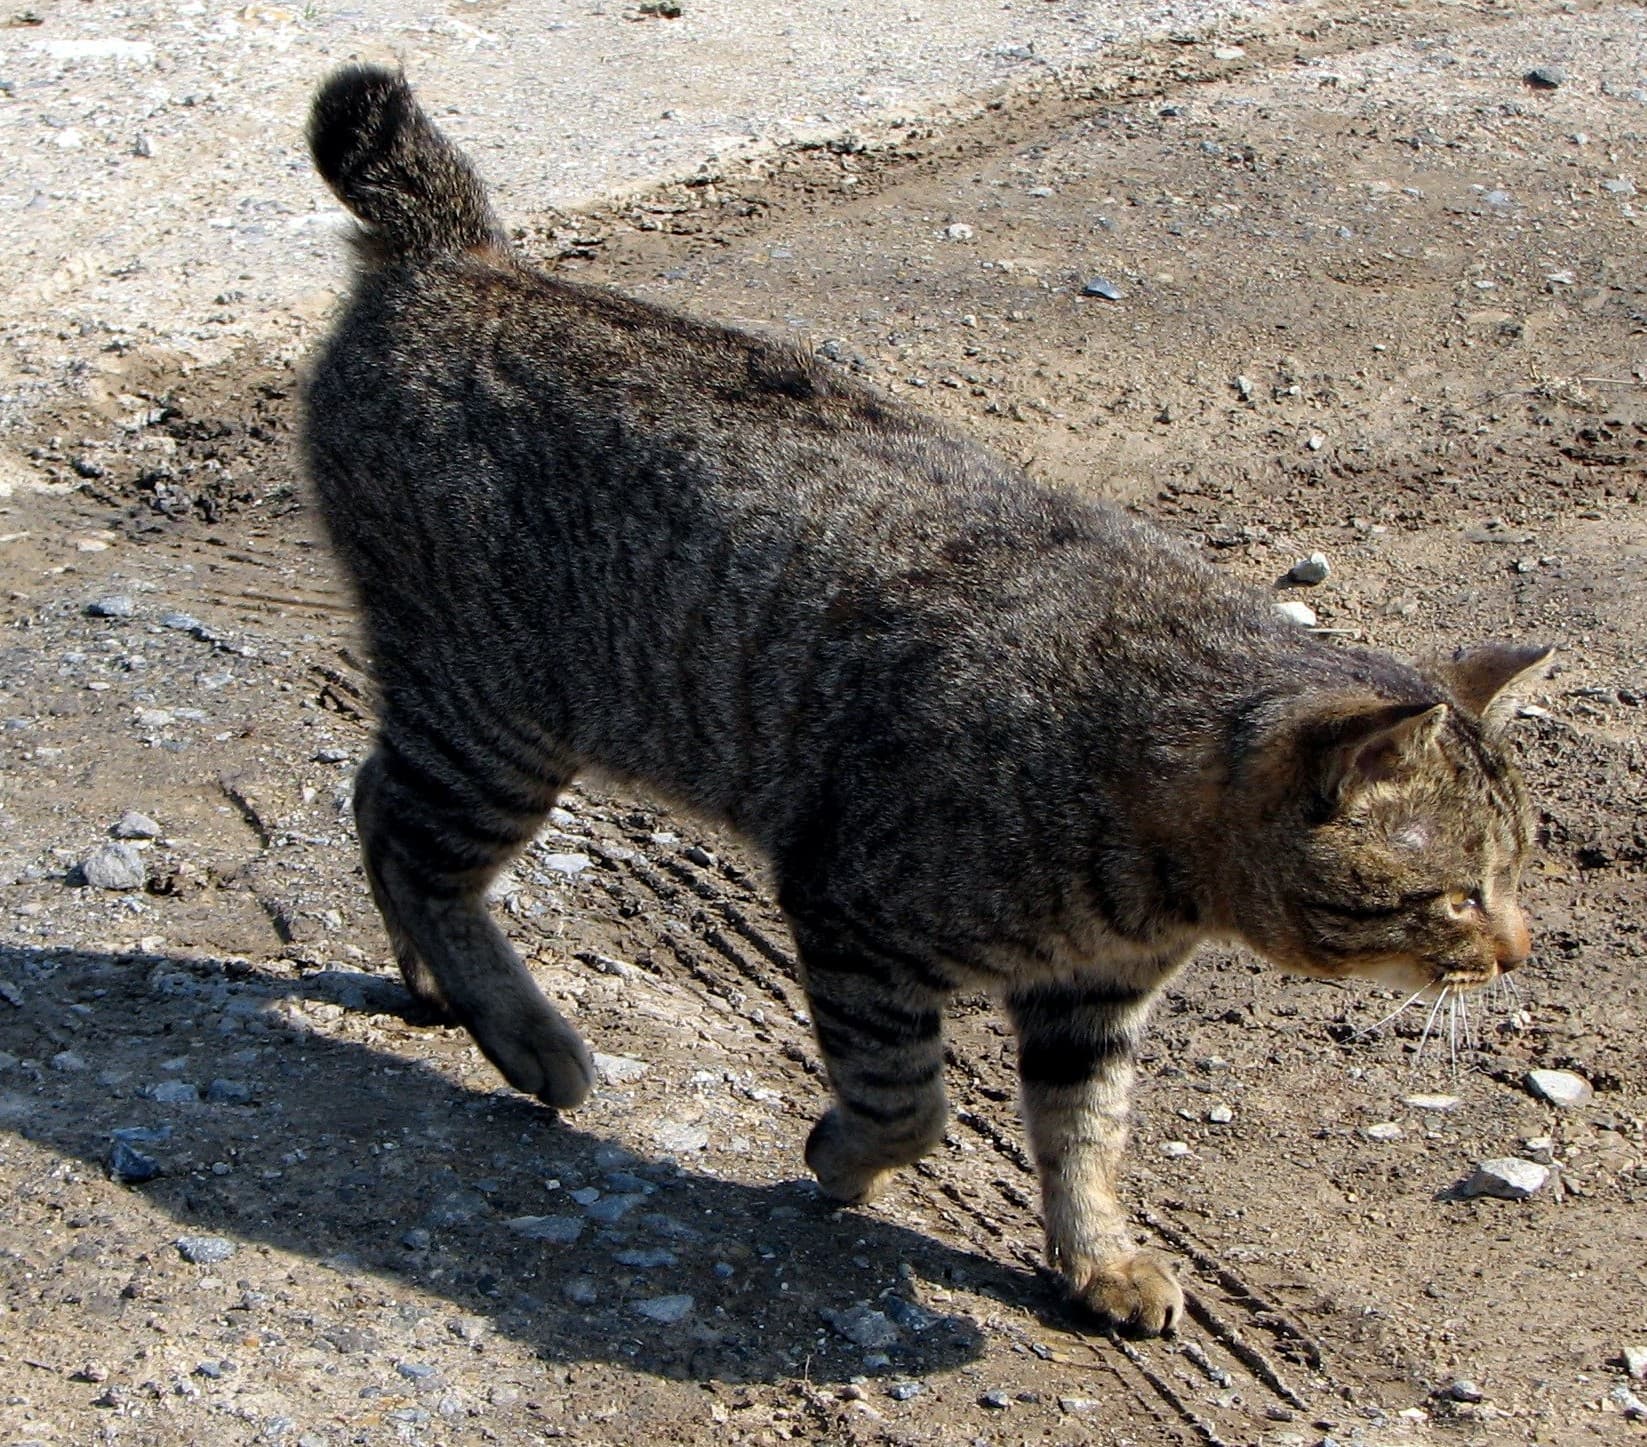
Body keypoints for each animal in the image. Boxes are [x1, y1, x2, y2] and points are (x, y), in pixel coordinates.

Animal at [303, 67, 1548, 1336]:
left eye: (1520, 872)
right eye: (1458, 894)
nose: (1518, 949)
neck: (1163, 872)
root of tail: (458, 254)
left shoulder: (1090, 1007)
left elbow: (1087, 1139)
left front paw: (1098, 1256)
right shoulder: (852, 912)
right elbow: (911, 1101)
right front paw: (845, 1157)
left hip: (469, 714)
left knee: (374, 801)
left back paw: (436, 987)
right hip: (497, 716)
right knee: (410, 840)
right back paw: (523, 1034)